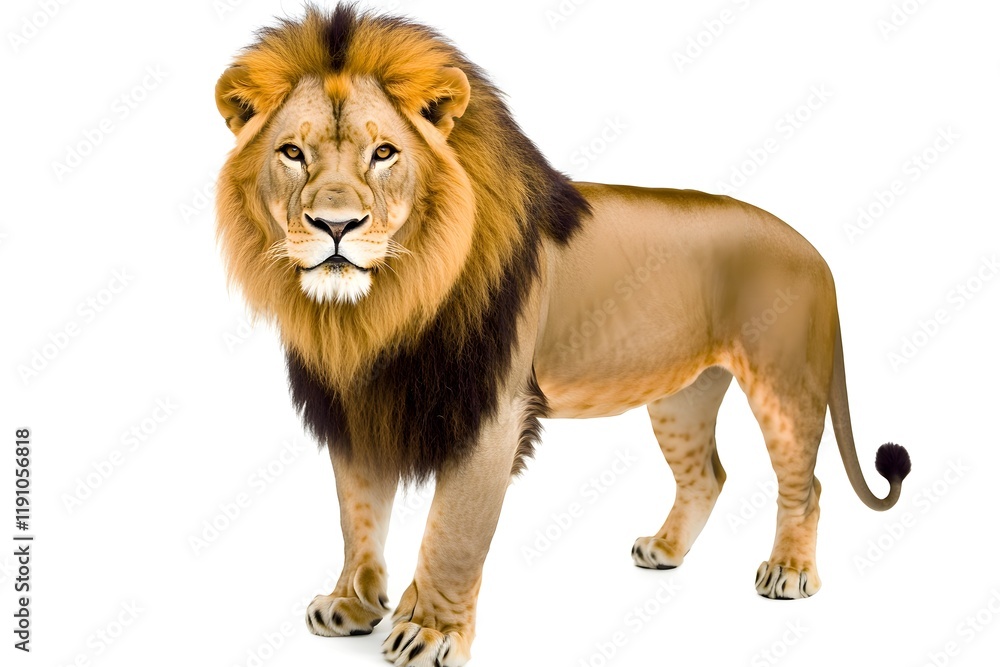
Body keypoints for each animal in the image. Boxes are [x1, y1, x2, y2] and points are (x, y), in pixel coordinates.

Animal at [214, 5, 912, 666]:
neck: (382, 307)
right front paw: (353, 604)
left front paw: (430, 630)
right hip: (681, 397)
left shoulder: (492, 412)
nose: (336, 226)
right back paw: (664, 549)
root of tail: (816, 252)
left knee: (807, 484)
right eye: (293, 153)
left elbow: (453, 532)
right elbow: (357, 513)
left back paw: (789, 572)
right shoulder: (360, 404)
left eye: (384, 152)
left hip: (784, 383)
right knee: (708, 476)